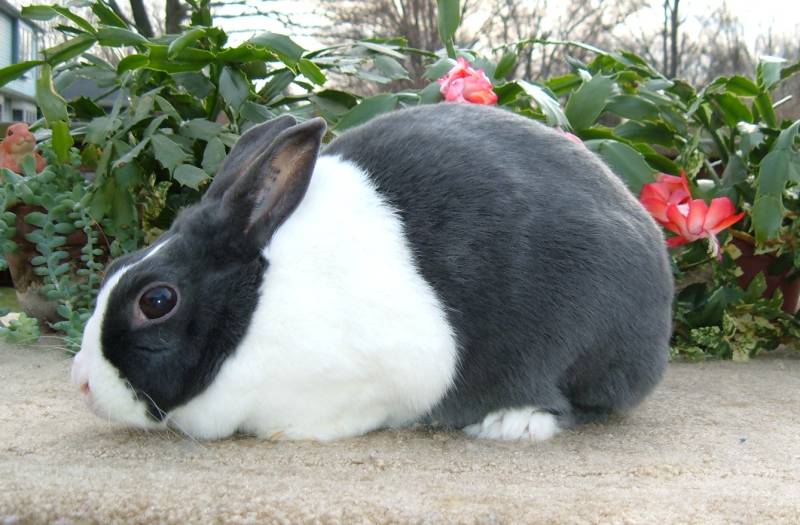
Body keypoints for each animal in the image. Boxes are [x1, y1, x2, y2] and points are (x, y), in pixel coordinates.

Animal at [71, 103, 673, 441]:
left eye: (156, 301)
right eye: (116, 266)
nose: (81, 383)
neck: (259, 303)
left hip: (579, 344)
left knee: (581, 405)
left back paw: (513, 424)